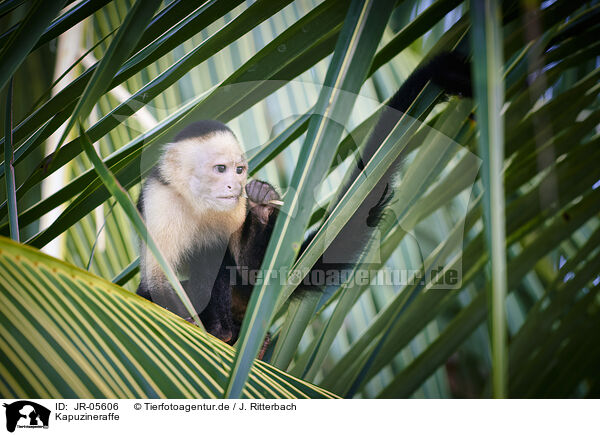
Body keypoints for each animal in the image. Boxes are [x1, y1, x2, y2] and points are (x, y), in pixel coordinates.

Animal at [137, 50, 474, 344]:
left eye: (239, 170)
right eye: (221, 169)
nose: (234, 186)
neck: (198, 204)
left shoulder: (235, 210)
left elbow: (249, 269)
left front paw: (262, 202)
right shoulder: (158, 200)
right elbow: (156, 277)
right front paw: (182, 316)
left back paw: (228, 332)